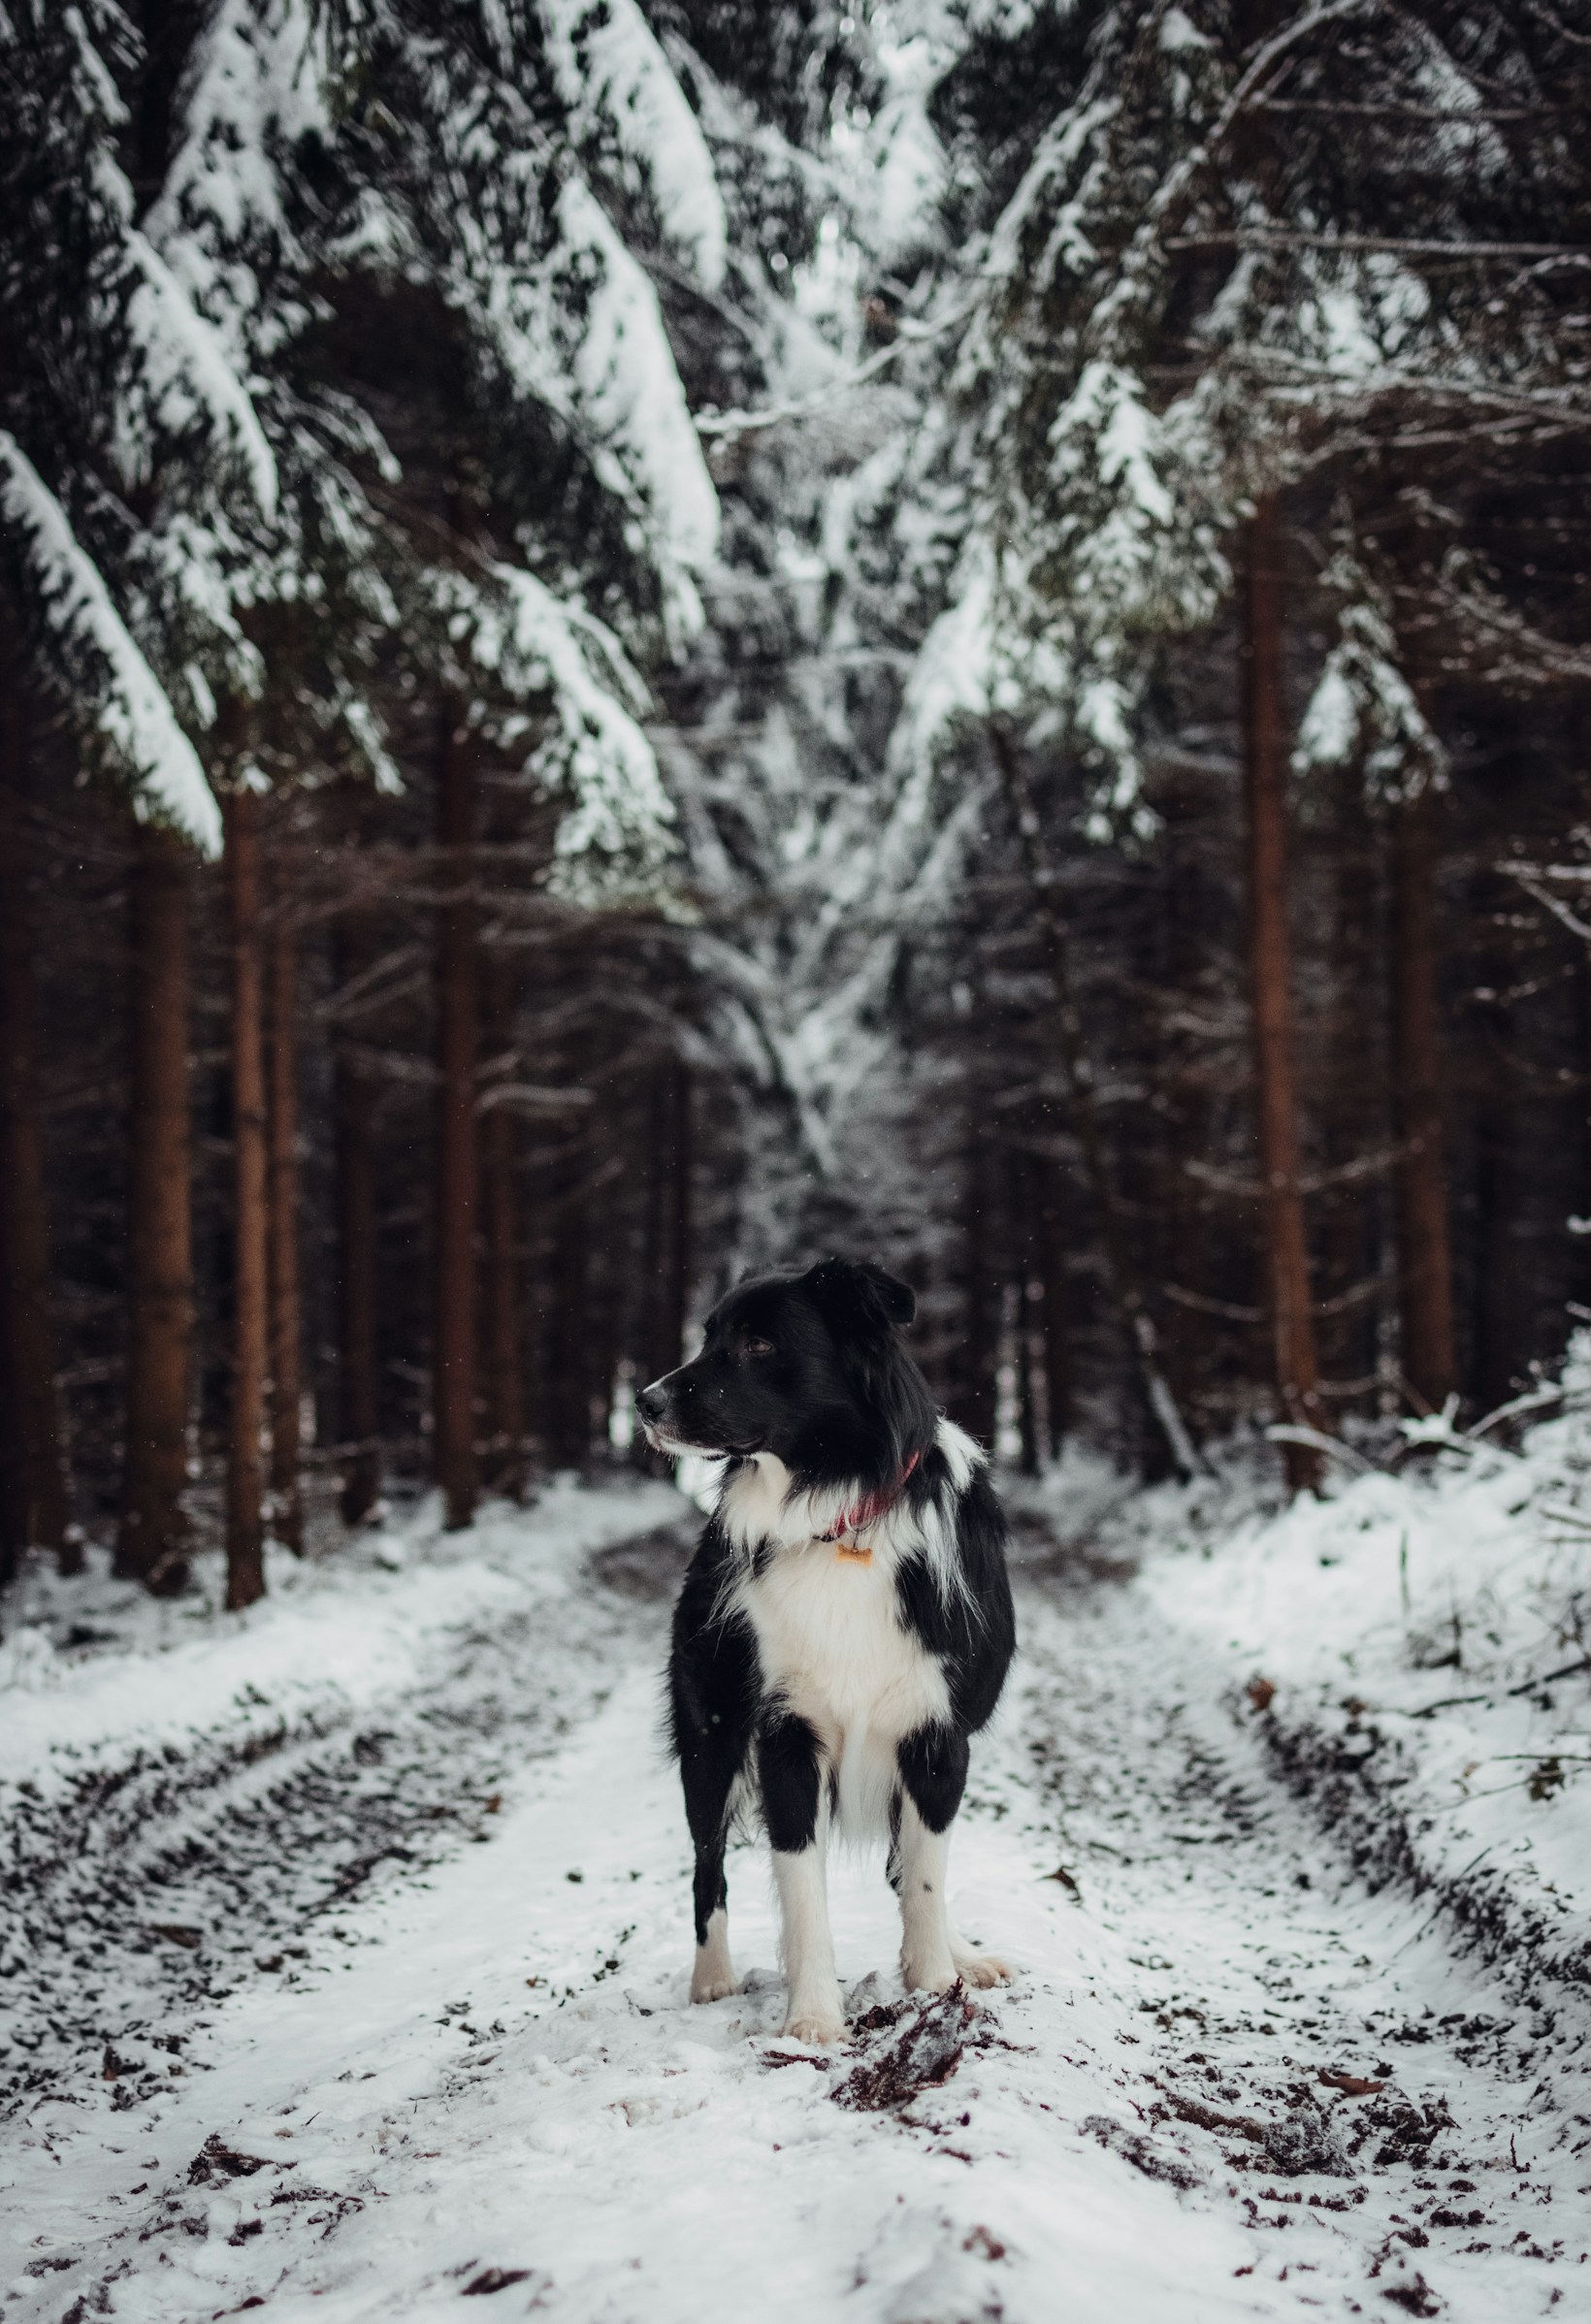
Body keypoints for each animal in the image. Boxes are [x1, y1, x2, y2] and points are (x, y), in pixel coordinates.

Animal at [633, 1264, 1004, 2045]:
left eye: (759, 1343)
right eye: (709, 1335)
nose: (644, 1402)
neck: (842, 1518)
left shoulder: (937, 1734)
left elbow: (924, 1875)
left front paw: (936, 1983)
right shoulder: (786, 1733)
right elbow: (803, 1890)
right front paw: (813, 2017)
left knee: (909, 1865)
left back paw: (961, 1952)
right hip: (710, 1733)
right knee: (707, 1867)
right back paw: (711, 1979)